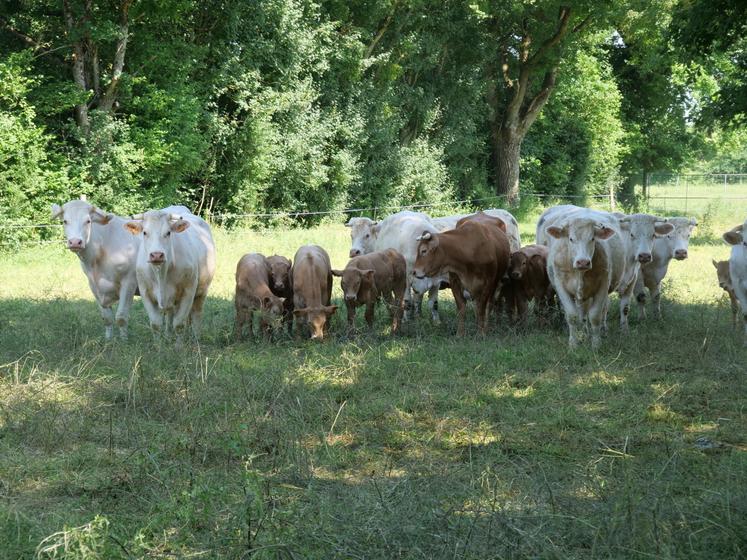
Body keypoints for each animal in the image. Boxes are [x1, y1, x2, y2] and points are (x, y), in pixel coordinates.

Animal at [50, 198, 140, 339]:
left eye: (88, 221)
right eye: (65, 221)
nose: (75, 242)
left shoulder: (129, 282)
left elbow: (121, 317)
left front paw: (124, 341)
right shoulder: (93, 285)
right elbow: (106, 318)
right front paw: (108, 340)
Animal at [124, 206, 216, 340]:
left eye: (168, 233)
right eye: (145, 232)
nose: (156, 255)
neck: (161, 273)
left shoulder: (188, 291)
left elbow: (179, 324)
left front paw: (179, 345)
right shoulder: (145, 292)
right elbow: (156, 324)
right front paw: (158, 345)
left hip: (202, 291)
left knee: (196, 314)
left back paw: (196, 338)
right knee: (170, 313)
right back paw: (168, 335)